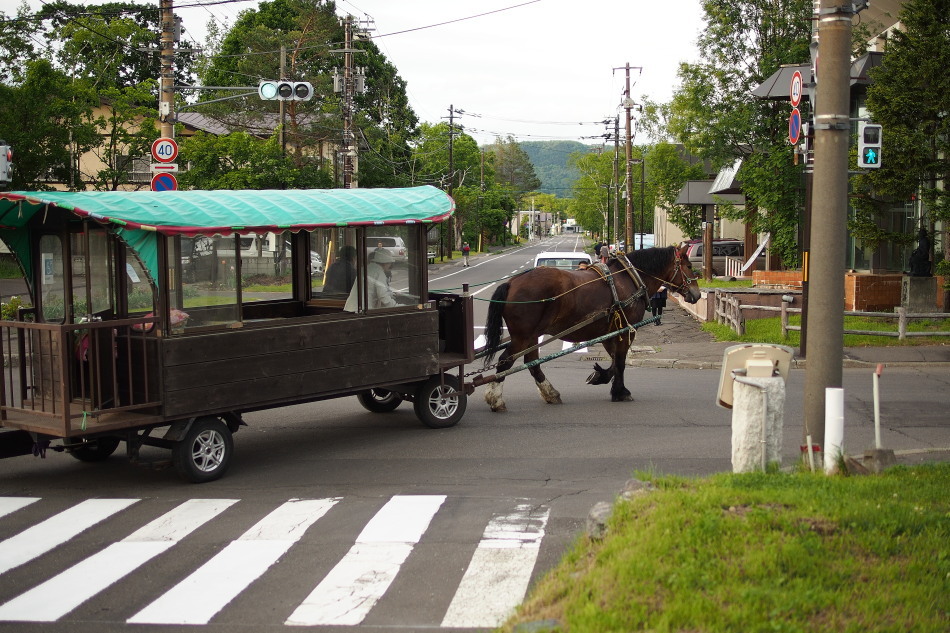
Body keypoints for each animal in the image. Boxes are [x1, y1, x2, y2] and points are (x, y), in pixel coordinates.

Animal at [484, 244, 700, 412]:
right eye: (689, 266)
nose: (697, 294)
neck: (630, 278)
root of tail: (512, 282)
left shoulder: (609, 330)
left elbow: (614, 360)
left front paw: (600, 376)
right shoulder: (626, 330)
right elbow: (620, 361)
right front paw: (621, 392)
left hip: (531, 336)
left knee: (532, 363)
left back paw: (550, 393)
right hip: (523, 336)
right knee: (505, 362)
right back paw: (496, 400)